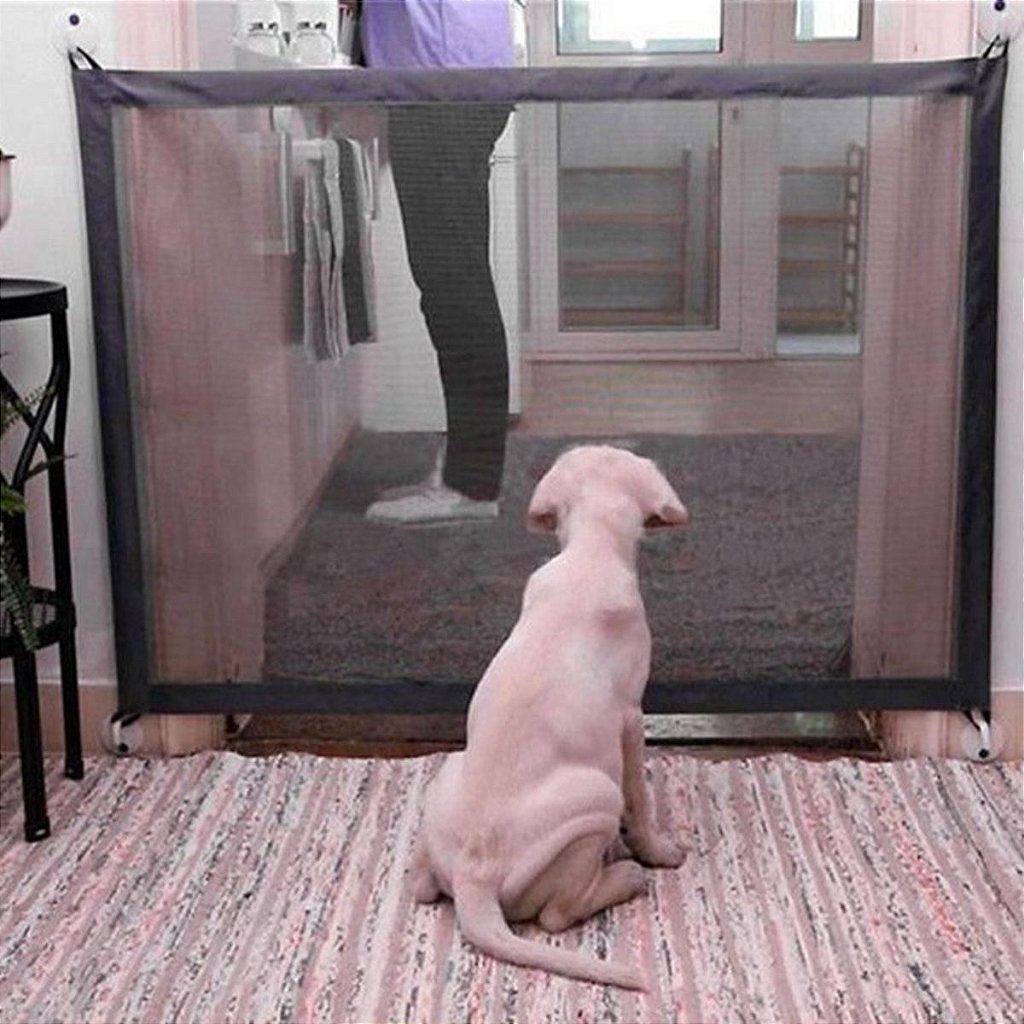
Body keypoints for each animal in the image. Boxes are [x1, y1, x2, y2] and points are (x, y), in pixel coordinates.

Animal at [409, 446, 689, 989]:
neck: (590, 553)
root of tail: (475, 879)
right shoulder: (631, 717)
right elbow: (640, 801)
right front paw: (658, 851)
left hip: (451, 770)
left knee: (422, 886)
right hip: (595, 804)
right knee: (556, 915)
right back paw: (626, 876)